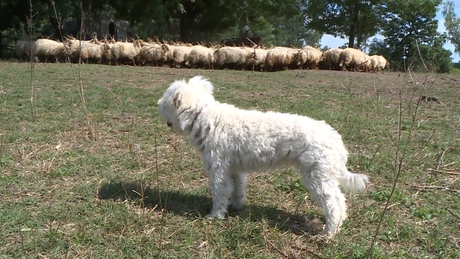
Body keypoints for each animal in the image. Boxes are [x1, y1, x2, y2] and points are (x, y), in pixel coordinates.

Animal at [158, 75, 370, 238]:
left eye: (166, 101)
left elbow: (219, 193)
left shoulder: (218, 169)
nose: (157, 104)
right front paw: (236, 207)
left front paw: (215, 216)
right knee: (340, 200)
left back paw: (329, 232)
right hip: (324, 175)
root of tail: (336, 140)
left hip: (317, 175)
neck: (209, 120)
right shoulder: (235, 169)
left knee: (333, 203)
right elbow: (238, 190)